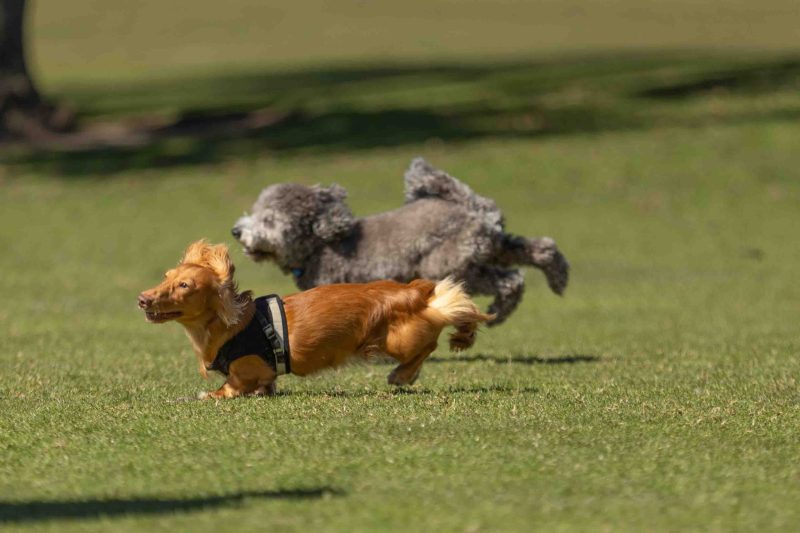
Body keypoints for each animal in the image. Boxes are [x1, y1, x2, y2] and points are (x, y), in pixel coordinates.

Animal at [138, 239, 494, 396]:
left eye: (185, 286)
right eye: (167, 277)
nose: (142, 299)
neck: (231, 325)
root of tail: (413, 291)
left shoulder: (247, 368)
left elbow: (230, 386)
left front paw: (211, 395)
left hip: (397, 340)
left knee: (431, 339)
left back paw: (402, 375)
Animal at [231, 158, 568, 324]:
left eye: (268, 220)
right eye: (255, 211)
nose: (236, 231)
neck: (319, 246)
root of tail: (470, 204)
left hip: (449, 264)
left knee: (511, 280)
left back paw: (499, 310)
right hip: (494, 246)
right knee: (540, 249)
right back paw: (558, 278)